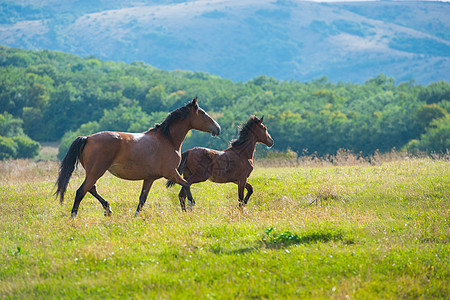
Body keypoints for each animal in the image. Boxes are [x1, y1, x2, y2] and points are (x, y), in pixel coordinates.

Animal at [55, 98, 221, 218]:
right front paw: (191, 205)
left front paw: (135, 217)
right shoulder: (171, 172)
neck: (167, 140)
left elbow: (142, 199)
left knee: (91, 189)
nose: (217, 128)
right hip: (97, 171)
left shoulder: (150, 178)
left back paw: (108, 209)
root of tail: (87, 138)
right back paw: (74, 217)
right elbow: (186, 184)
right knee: (81, 191)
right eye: (203, 113)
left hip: (93, 172)